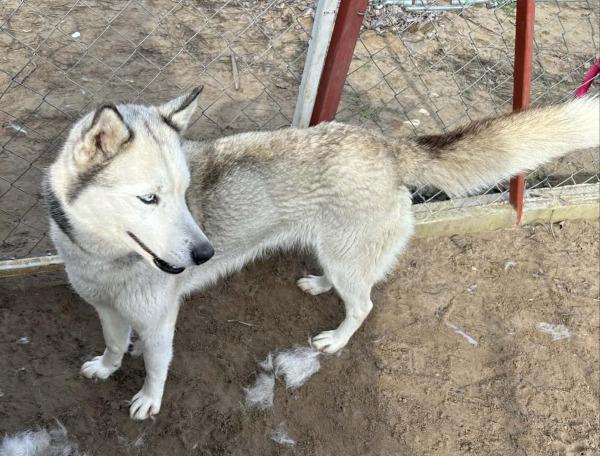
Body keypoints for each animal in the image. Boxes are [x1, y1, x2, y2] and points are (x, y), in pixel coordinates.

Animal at [44, 87, 599, 419]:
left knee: (364, 304)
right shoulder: (105, 309)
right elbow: (114, 344)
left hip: (346, 260)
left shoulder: (161, 324)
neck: (102, 256)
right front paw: (107, 366)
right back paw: (318, 283)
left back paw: (335, 339)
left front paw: (148, 400)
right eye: (149, 199)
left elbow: (157, 367)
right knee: (350, 283)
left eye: (185, 194)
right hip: (337, 254)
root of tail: (387, 145)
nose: (205, 252)